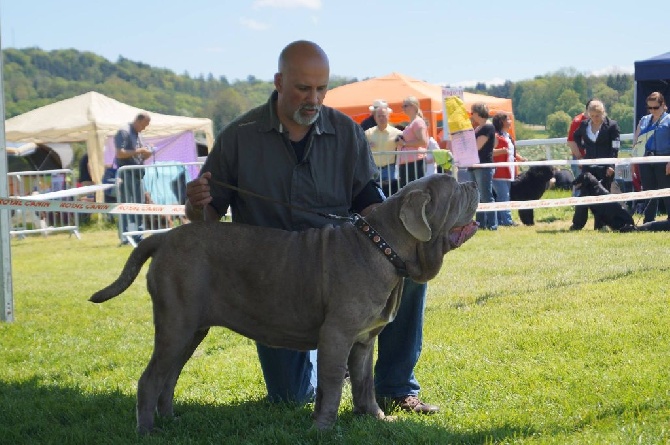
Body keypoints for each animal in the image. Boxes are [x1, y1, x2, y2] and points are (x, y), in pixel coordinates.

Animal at [92, 173, 480, 430]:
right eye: (455, 191)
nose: (474, 183)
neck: (382, 246)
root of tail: (164, 237)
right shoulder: (336, 335)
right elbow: (332, 385)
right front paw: (323, 429)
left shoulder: (364, 340)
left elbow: (364, 382)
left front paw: (375, 417)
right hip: (177, 325)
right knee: (149, 379)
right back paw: (148, 430)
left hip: (191, 331)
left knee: (168, 376)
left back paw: (172, 420)